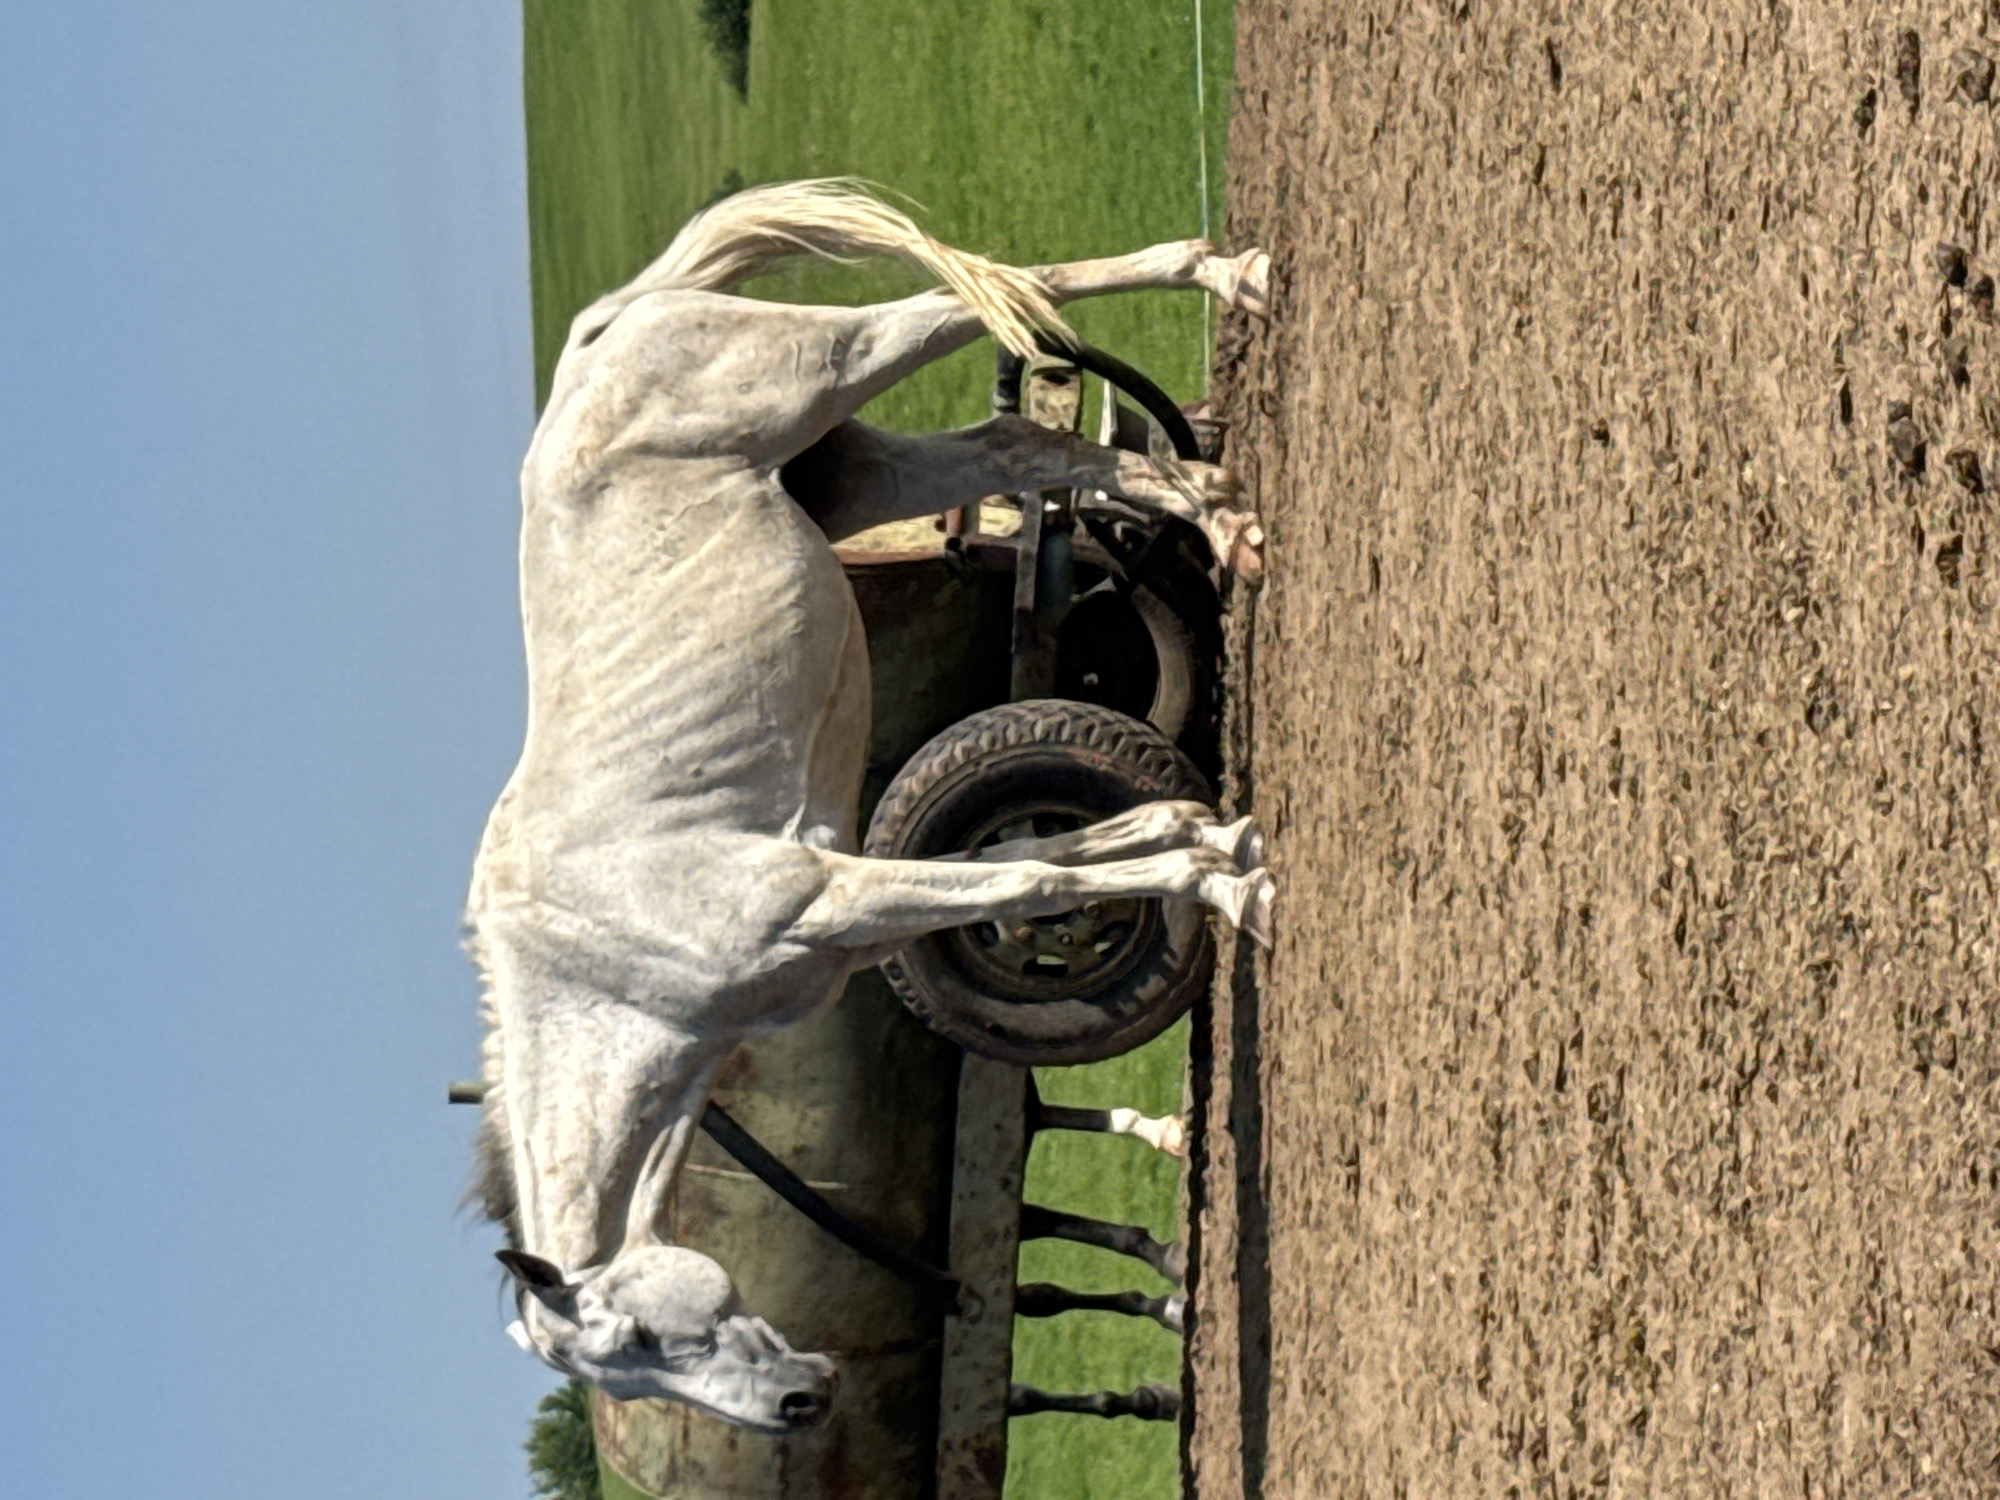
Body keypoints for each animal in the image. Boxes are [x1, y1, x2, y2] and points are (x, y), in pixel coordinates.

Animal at [465, 180, 1275, 1433]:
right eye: (627, 1363)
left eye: (645, 1336)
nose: (798, 1406)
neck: (606, 955)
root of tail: (606, 328)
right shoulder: (854, 907)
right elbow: (1043, 862)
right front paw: (1183, 836)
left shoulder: (826, 896)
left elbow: (1025, 873)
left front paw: (1233, 874)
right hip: (864, 473)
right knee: (1021, 445)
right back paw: (1220, 512)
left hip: (828, 366)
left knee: (1004, 290)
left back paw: (1231, 277)